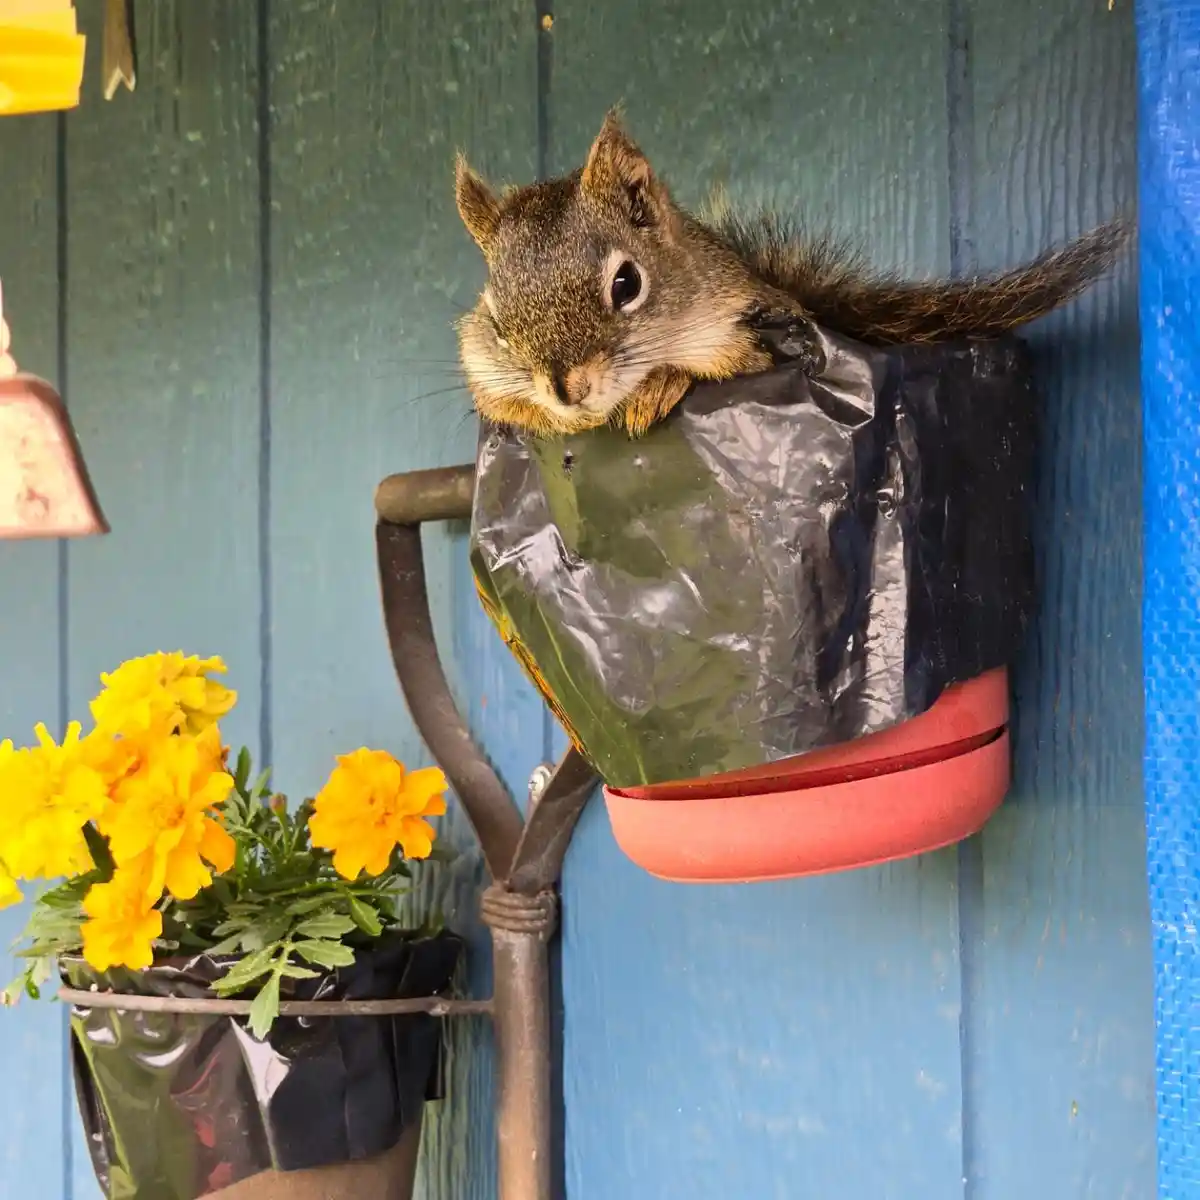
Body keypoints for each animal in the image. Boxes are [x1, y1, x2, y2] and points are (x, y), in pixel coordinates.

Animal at [454, 111, 1131, 439]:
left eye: (627, 285)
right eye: (496, 319)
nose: (565, 390)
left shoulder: (749, 330)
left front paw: (662, 381)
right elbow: (498, 402)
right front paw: (548, 417)